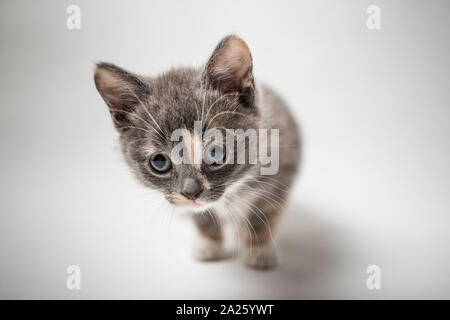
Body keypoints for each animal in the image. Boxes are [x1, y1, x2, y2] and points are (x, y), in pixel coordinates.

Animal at [93, 35, 300, 270]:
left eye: (215, 152)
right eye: (159, 162)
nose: (191, 193)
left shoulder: (282, 164)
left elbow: (265, 210)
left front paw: (259, 248)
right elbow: (202, 215)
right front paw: (208, 242)